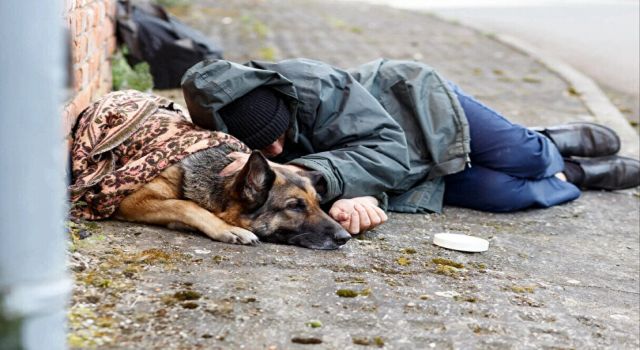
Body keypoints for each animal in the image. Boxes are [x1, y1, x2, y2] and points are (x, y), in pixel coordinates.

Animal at [117, 147, 352, 249]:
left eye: (318, 204)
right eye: (294, 206)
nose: (346, 237)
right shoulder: (131, 200)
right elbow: (185, 205)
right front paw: (228, 229)